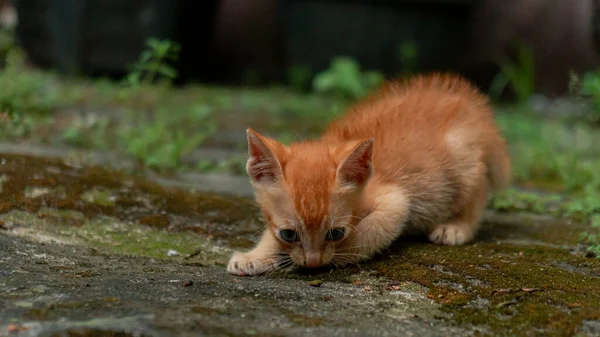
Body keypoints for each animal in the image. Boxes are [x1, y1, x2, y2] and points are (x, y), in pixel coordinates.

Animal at [227, 73, 508, 276]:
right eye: (289, 234)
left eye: (335, 233)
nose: (313, 262)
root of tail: (471, 107)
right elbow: (270, 234)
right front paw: (254, 257)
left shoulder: (395, 201)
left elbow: (366, 235)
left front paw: (335, 257)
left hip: (463, 158)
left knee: (476, 195)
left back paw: (456, 226)